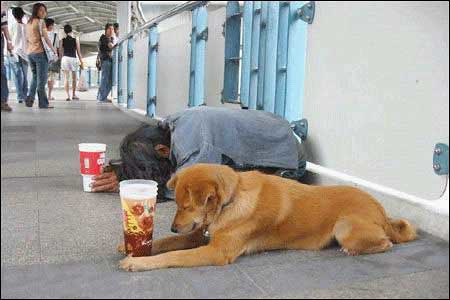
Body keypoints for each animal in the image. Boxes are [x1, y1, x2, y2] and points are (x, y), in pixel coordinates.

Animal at [118, 164, 414, 272]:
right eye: (177, 205)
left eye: (186, 205)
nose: (172, 225)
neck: (231, 200)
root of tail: (381, 211)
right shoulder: (199, 234)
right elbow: (166, 243)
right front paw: (136, 247)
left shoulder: (216, 252)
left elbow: (173, 255)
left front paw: (138, 263)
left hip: (345, 227)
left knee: (385, 243)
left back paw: (357, 250)